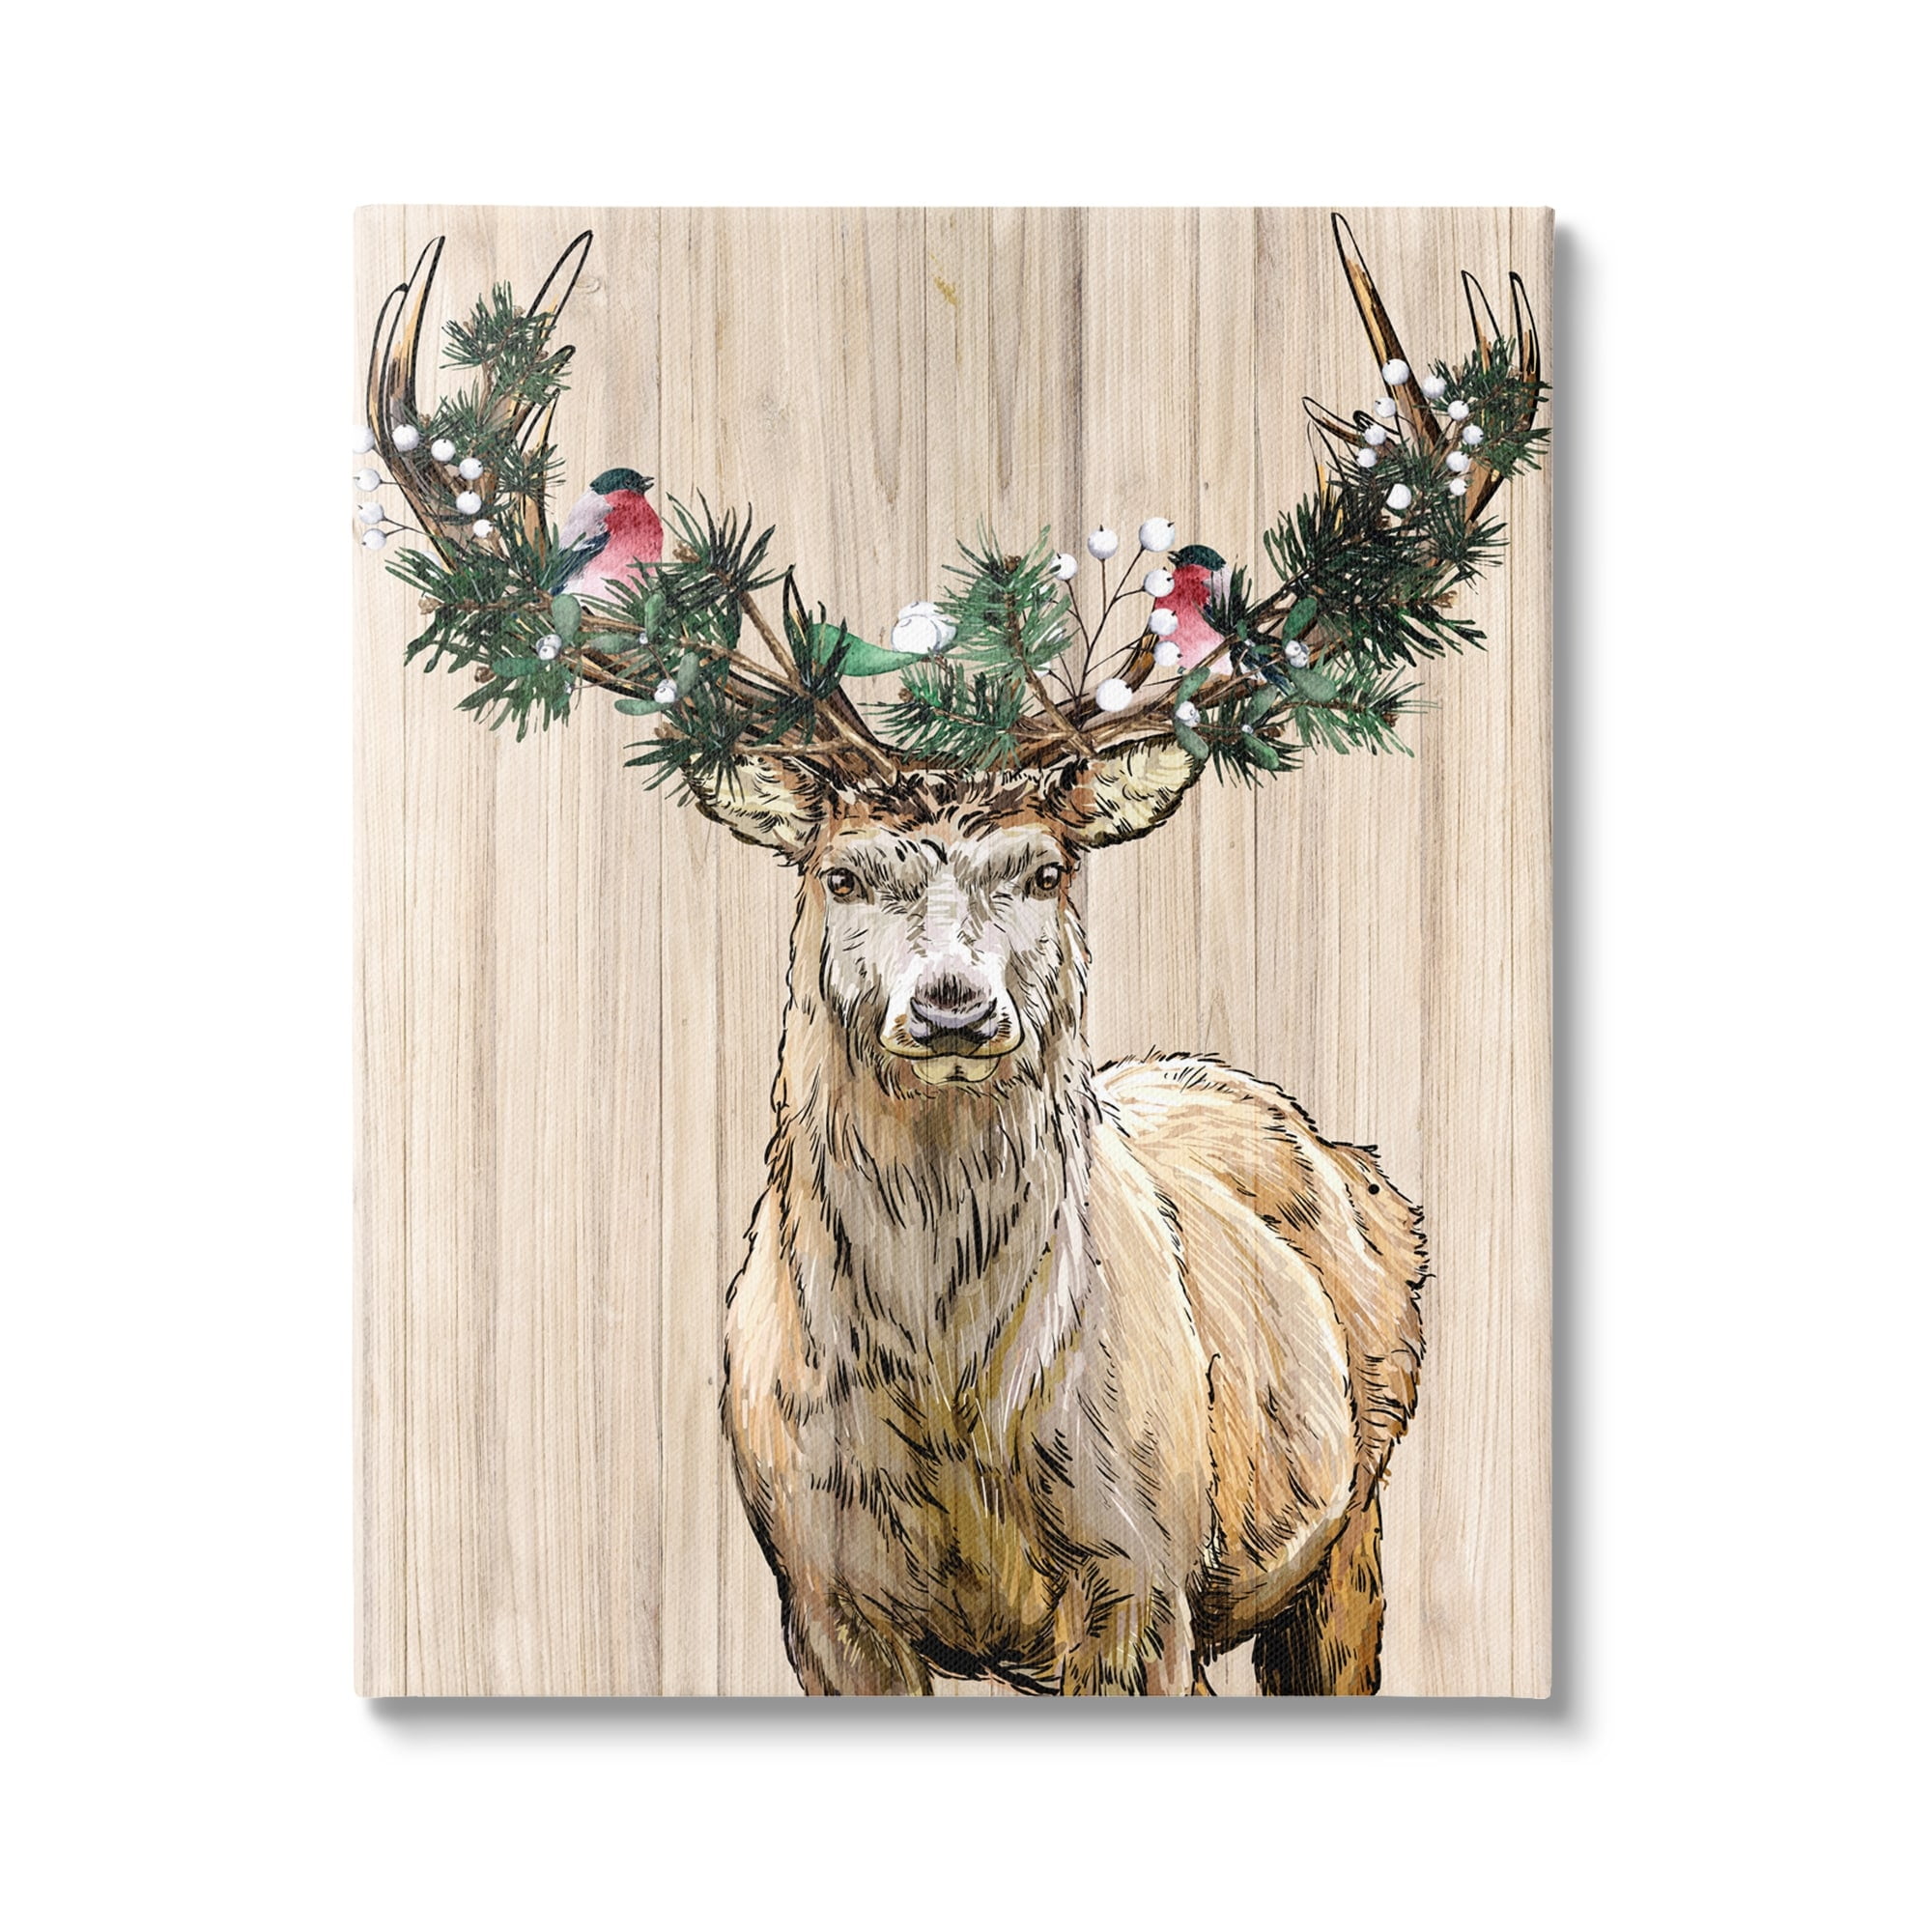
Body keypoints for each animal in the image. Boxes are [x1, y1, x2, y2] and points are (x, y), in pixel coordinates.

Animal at [363, 213, 1545, 1694]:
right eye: (842, 872)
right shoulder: (819, 1589)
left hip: (1351, 1528)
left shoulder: (1144, 1574)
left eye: (1044, 868)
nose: (950, 1005)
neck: (952, 1421)